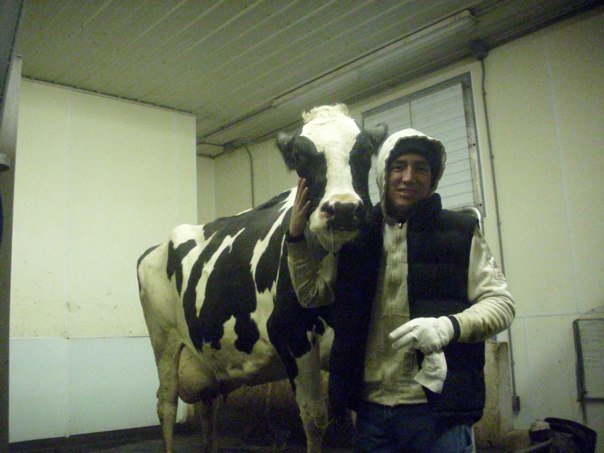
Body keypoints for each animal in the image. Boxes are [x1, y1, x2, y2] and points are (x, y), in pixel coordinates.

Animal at [137, 104, 386, 450]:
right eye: (299, 156)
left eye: (364, 151)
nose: (343, 209)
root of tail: (155, 248)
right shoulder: (291, 334)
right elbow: (314, 417)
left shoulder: (357, 336)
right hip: (163, 339)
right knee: (166, 403)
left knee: (208, 407)